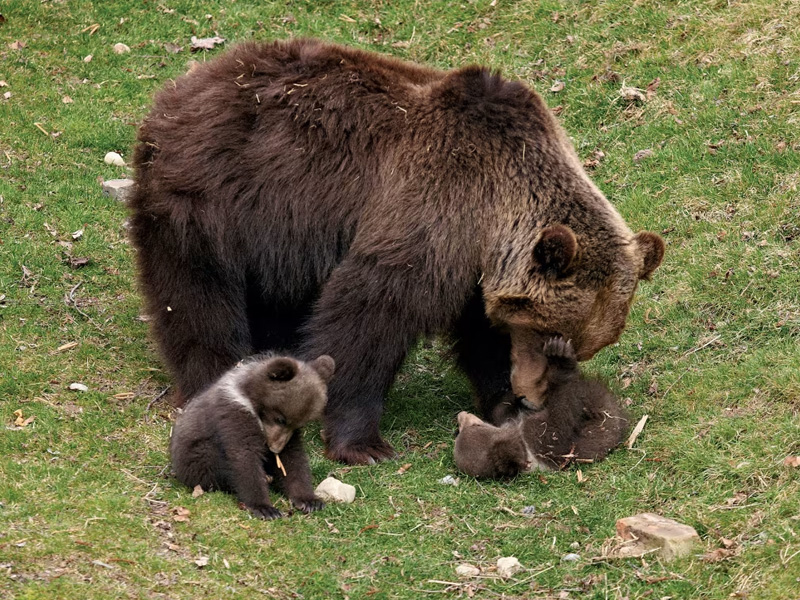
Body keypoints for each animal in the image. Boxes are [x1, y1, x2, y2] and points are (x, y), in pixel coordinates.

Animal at [169, 353, 334, 519]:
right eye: (280, 419)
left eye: (298, 424)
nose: (275, 448)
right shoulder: (234, 415)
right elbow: (245, 458)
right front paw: (265, 508)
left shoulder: (288, 437)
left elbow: (292, 460)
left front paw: (309, 501)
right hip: (196, 456)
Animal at [454, 337, 629, 479]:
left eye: (473, 425)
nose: (461, 415)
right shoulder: (540, 438)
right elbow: (561, 418)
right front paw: (560, 358)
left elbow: (501, 408)